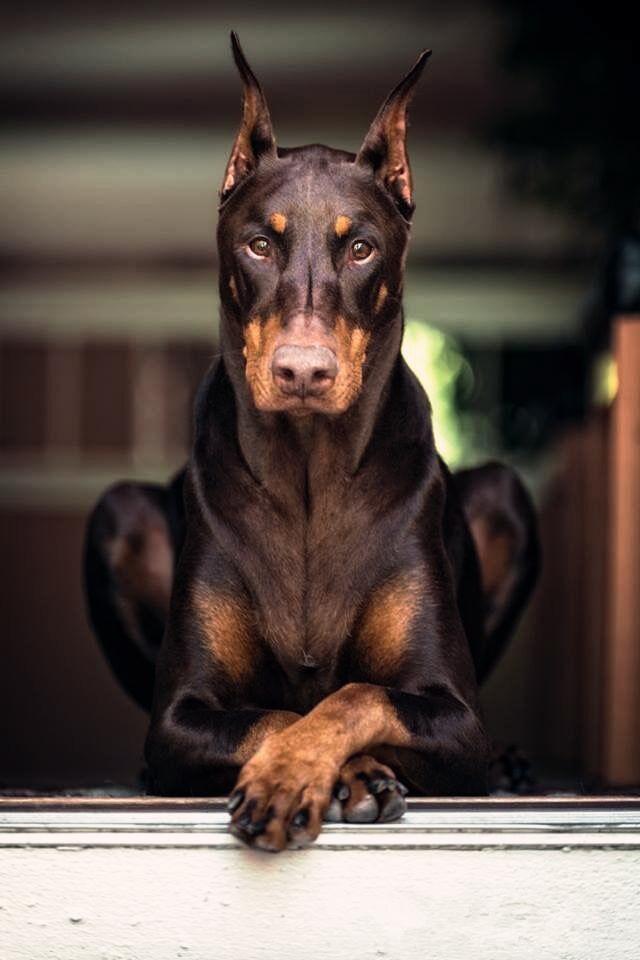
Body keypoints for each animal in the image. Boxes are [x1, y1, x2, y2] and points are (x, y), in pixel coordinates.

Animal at [84, 33, 540, 852]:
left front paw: (306, 775)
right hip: (118, 514)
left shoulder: (458, 719)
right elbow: (276, 714)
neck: (308, 467)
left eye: (360, 248)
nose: (303, 371)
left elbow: (356, 695)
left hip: (506, 496)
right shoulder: (179, 720)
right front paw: (332, 775)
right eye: (259, 244)